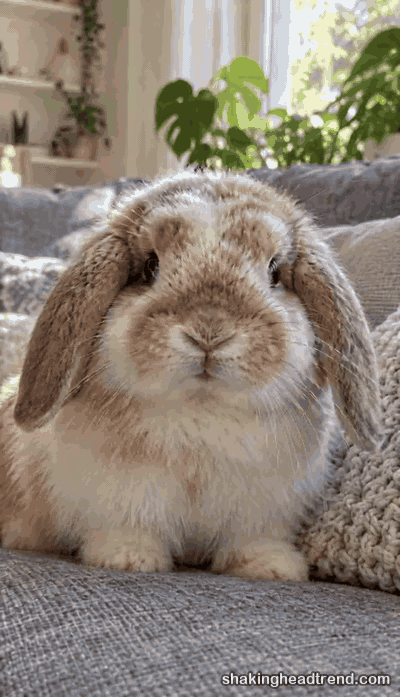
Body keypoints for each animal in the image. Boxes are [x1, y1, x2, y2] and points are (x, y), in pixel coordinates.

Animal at [0, 169, 382, 582]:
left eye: (274, 271)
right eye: (149, 266)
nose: (209, 331)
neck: (203, 410)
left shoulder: (263, 508)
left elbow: (252, 538)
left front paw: (272, 566)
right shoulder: (120, 494)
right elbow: (128, 525)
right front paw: (129, 557)